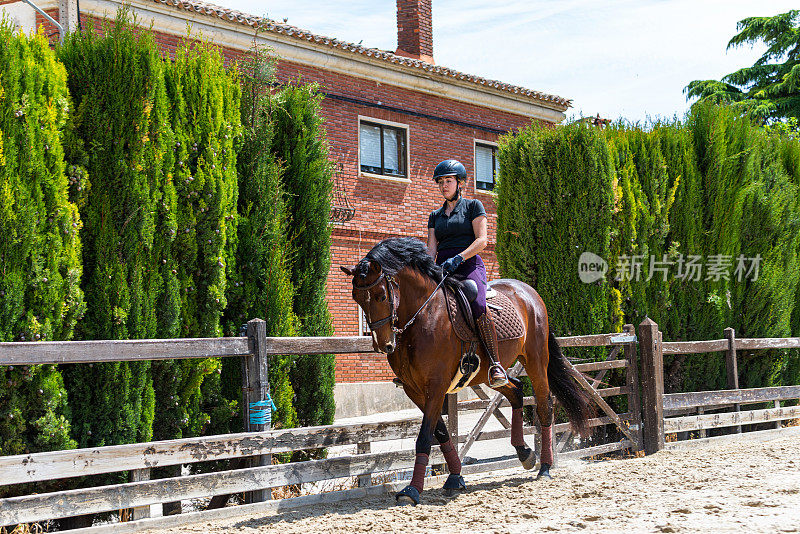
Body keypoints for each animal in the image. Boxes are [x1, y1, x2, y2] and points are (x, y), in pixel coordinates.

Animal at [340, 239, 592, 506]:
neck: (422, 316)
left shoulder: (436, 386)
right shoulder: (413, 390)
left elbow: (425, 437)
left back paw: (545, 467)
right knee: (515, 391)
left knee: (544, 406)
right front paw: (455, 477)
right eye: (357, 298)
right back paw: (525, 453)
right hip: (490, 374)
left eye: (380, 295)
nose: (384, 345)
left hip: (536, 361)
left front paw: (412, 490)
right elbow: (441, 432)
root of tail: (529, 291)